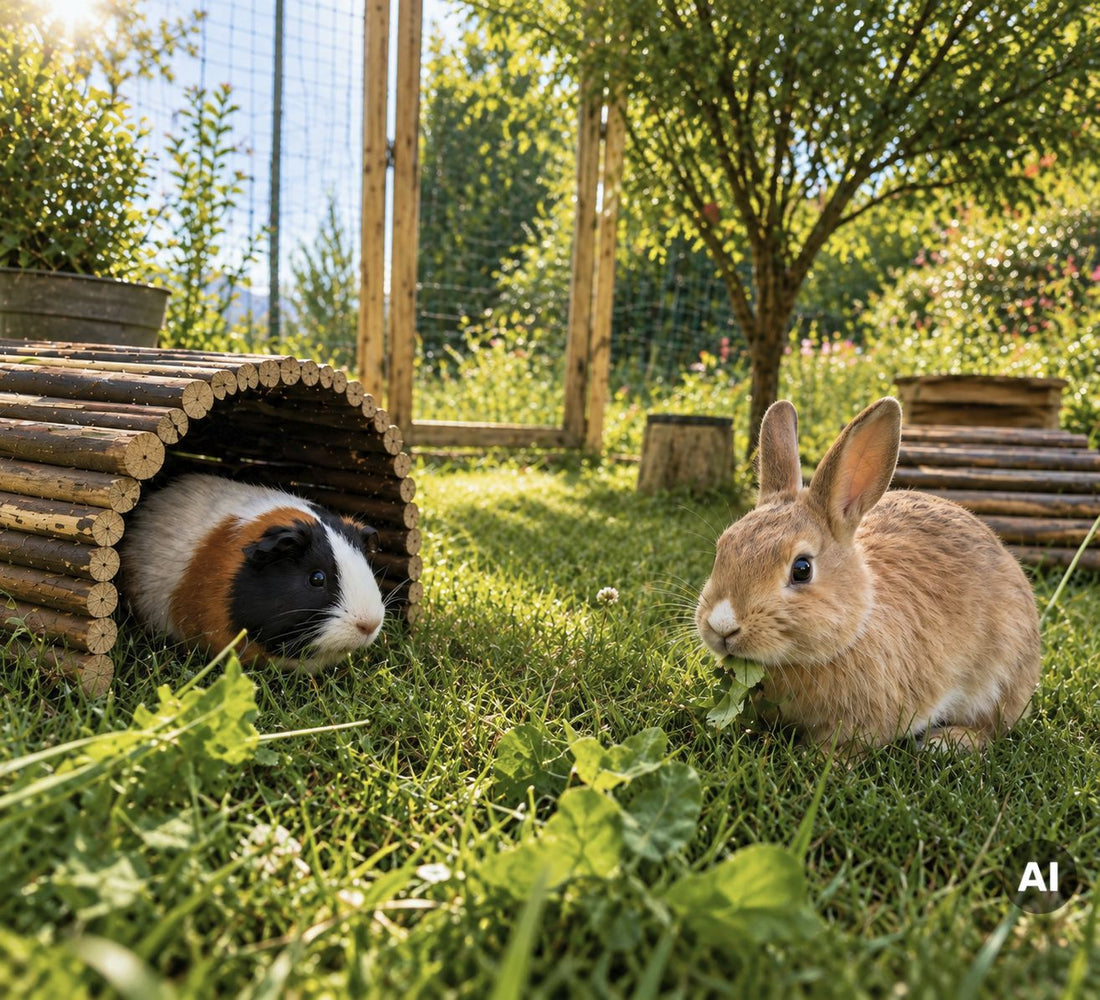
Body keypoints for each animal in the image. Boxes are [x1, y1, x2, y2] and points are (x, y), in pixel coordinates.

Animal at [695, 397, 1041, 751]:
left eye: (802, 569)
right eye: (723, 549)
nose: (722, 626)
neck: (855, 629)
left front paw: (825, 758)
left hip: (1002, 677)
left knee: (994, 725)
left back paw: (947, 741)